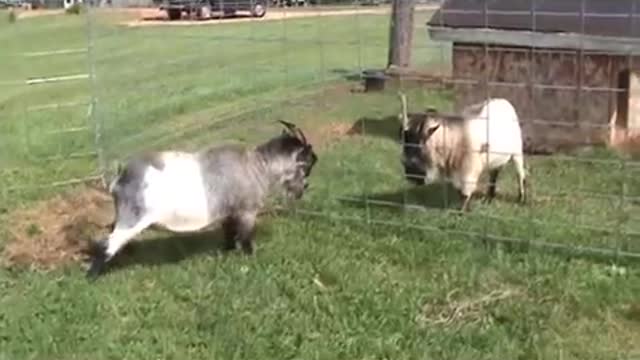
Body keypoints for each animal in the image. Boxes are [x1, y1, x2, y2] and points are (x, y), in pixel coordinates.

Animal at [89, 120, 318, 278]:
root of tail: (120, 178)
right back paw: (92, 276)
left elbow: (228, 234)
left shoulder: (229, 212)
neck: (258, 165)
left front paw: (227, 252)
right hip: (133, 216)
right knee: (107, 243)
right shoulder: (247, 210)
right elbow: (244, 237)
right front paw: (251, 256)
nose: (304, 188)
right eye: (307, 164)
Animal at [398, 93, 528, 212]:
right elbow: (460, 192)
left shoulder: (470, 171)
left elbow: (465, 194)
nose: (412, 176)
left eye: (422, 143)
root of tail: (504, 102)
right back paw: (489, 198)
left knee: (520, 174)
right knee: (494, 175)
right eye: (405, 144)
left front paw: (461, 213)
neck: (456, 139)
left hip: (517, 151)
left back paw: (521, 198)